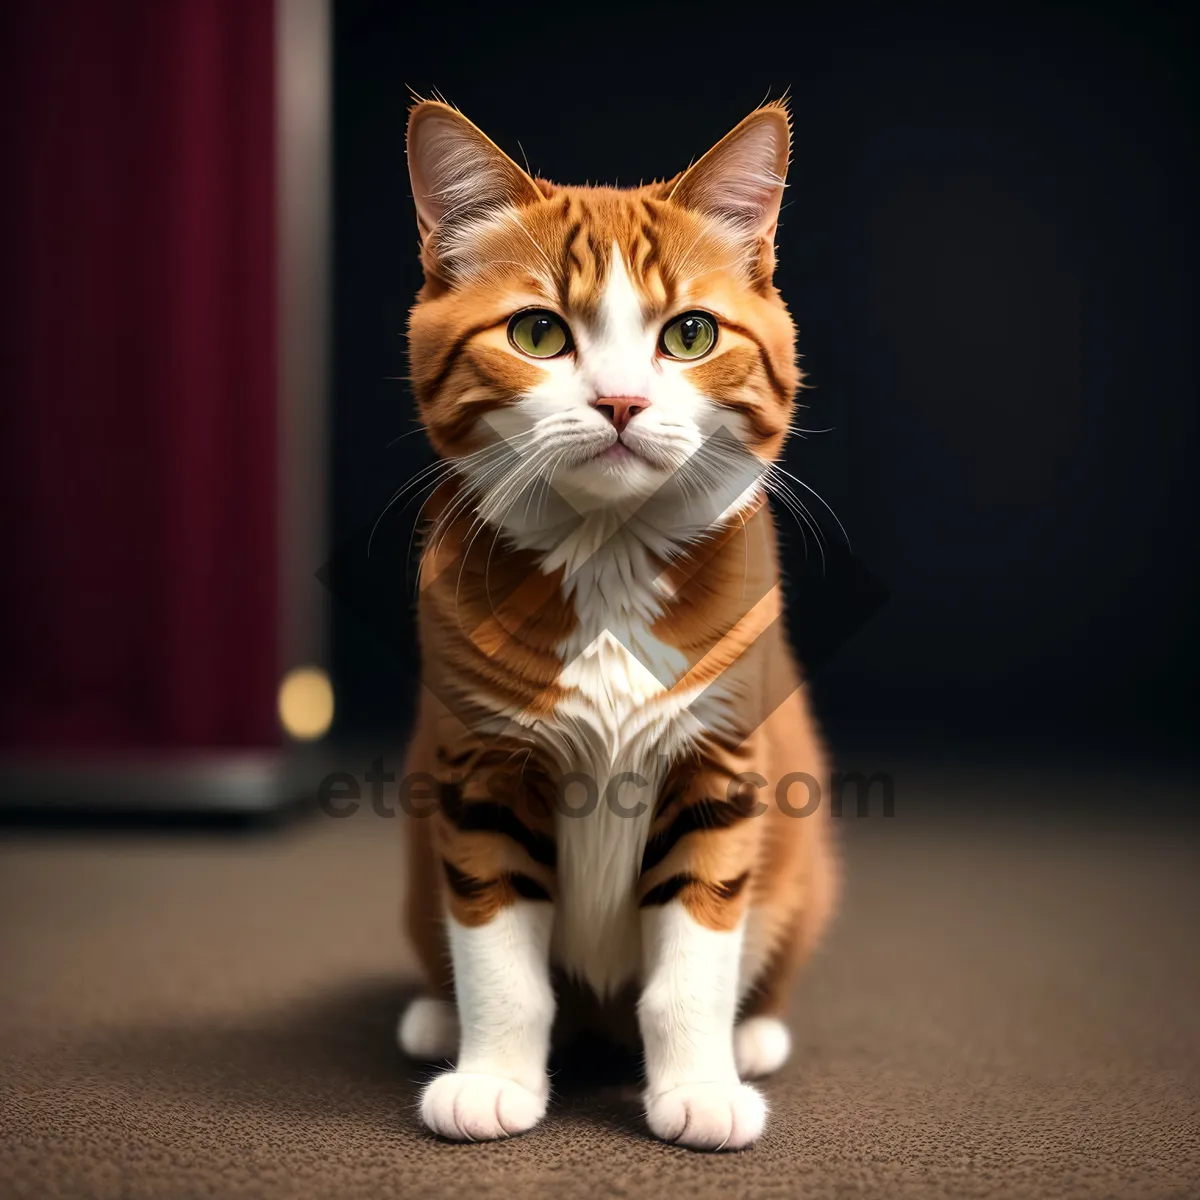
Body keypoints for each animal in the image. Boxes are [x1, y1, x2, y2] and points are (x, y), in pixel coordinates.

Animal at [393, 98, 835, 1147]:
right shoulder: (478, 771)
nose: (622, 402)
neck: (606, 560)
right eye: (538, 333)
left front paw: (701, 1088)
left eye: (690, 335)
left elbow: (694, 962)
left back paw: (756, 1035)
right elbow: (498, 957)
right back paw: (432, 1015)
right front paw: (490, 1078)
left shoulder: (723, 767)